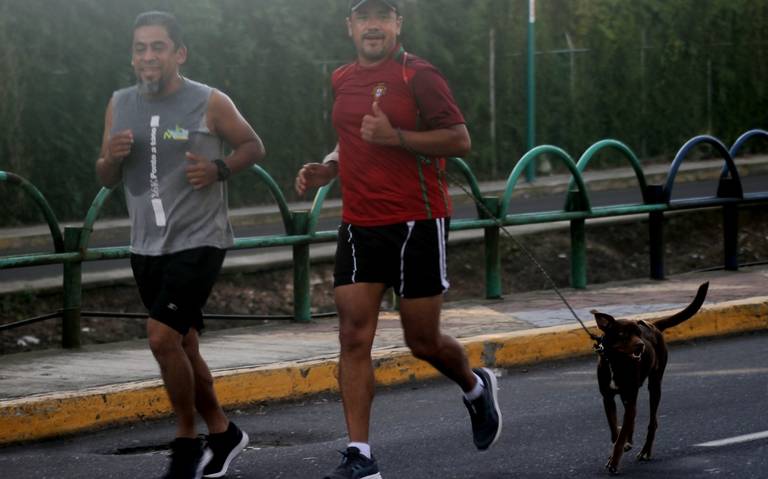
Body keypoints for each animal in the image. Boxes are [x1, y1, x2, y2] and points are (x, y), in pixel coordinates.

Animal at [592, 284, 712, 474]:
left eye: (638, 334)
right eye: (622, 333)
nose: (641, 345)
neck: (616, 362)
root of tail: (654, 325)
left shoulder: (630, 396)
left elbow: (620, 435)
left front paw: (614, 462)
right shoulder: (608, 398)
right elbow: (614, 430)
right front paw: (618, 447)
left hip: (655, 385)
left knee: (651, 422)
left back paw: (645, 451)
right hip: (631, 394)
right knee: (632, 419)